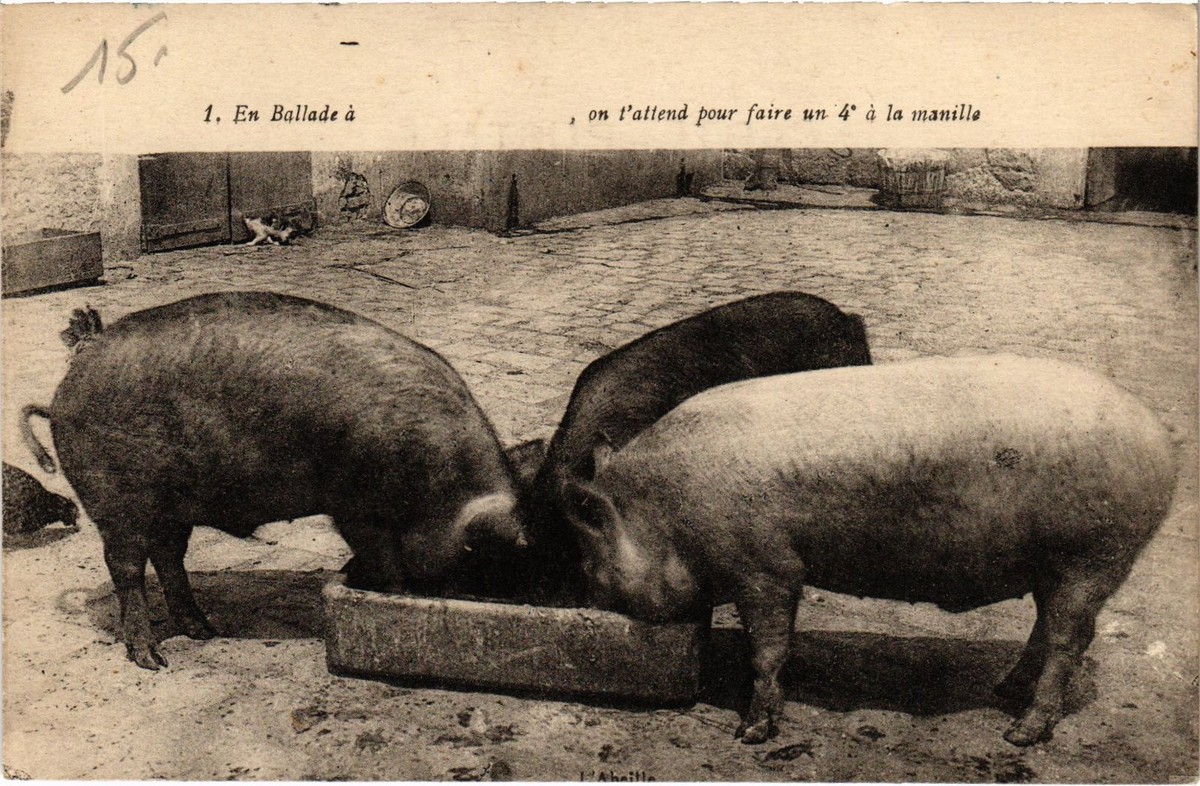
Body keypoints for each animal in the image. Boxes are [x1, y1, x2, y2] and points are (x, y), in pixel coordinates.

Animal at [22, 291, 531, 670]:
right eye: (479, 559)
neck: (438, 482)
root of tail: (64, 390)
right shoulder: (354, 505)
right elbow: (386, 563)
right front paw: (397, 597)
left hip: (171, 508)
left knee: (168, 558)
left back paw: (204, 631)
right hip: (116, 502)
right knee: (126, 567)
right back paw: (153, 659)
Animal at [561, 355, 1176, 746]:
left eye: (590, 557)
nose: (588, 600)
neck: (667, 508)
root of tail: (1160, 442)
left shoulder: (765, 564)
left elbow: (767, 647)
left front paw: (751, 733)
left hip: (1093, 555)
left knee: (1070, 639)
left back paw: (1020, 734)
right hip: (1059, 564)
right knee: (1049, 629)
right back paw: (1003, 688)